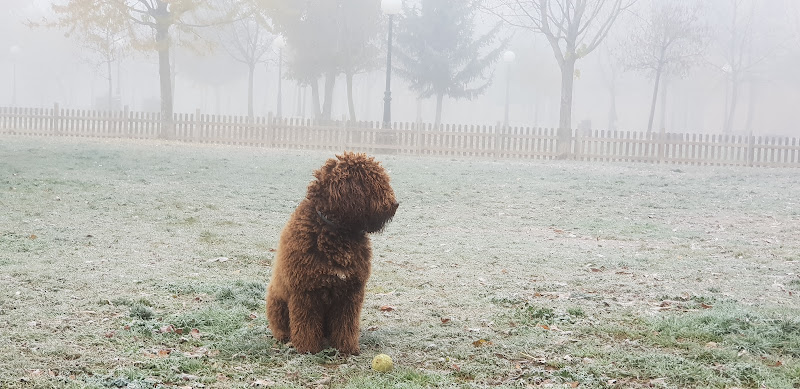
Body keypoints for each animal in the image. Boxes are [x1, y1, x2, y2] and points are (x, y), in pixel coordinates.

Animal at [266, 152, 396, 354]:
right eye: (373, 183)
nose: (395, 204)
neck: (336, 232)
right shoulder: (306, 293)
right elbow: (306, 324)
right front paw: (308, 349)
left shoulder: (350, 294)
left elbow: (346, 325)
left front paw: (347, 348)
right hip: (277, 302)